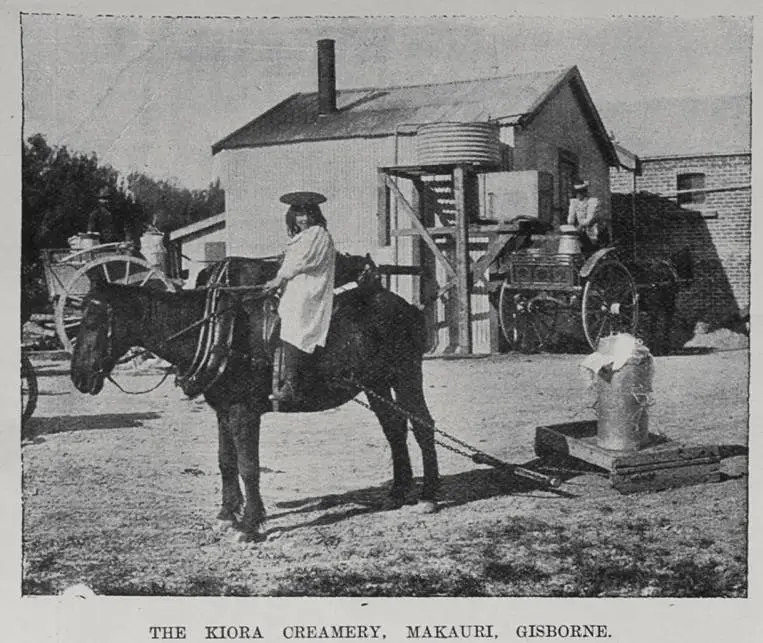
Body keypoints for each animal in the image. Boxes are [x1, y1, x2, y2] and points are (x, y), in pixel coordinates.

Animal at [73, 256, 442, 544]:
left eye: (92, 322)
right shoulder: (223, 410)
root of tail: (407, 306)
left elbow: (249, 466)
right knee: (394, 428)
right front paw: (226, 514)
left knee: (423, 427)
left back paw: (428, 495)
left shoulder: (244, 411)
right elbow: (226, 461)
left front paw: (250, 525)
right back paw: (397, 492)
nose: (78, 377)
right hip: (376, 384)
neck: (218, 331)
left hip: (406, 374)